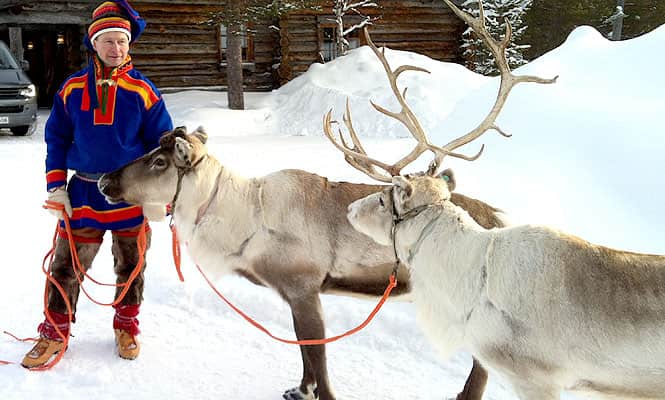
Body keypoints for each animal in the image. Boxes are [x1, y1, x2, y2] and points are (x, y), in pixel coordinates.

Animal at [95, 7, 511, 399]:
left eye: (160, 162)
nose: (103, 180)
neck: (246, 223)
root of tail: (501, 219)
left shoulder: (303, 286)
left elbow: (318, 358)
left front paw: (316, 389)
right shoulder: (293, 293)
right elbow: (303, 351)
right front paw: (300, 387)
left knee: (484, 363)